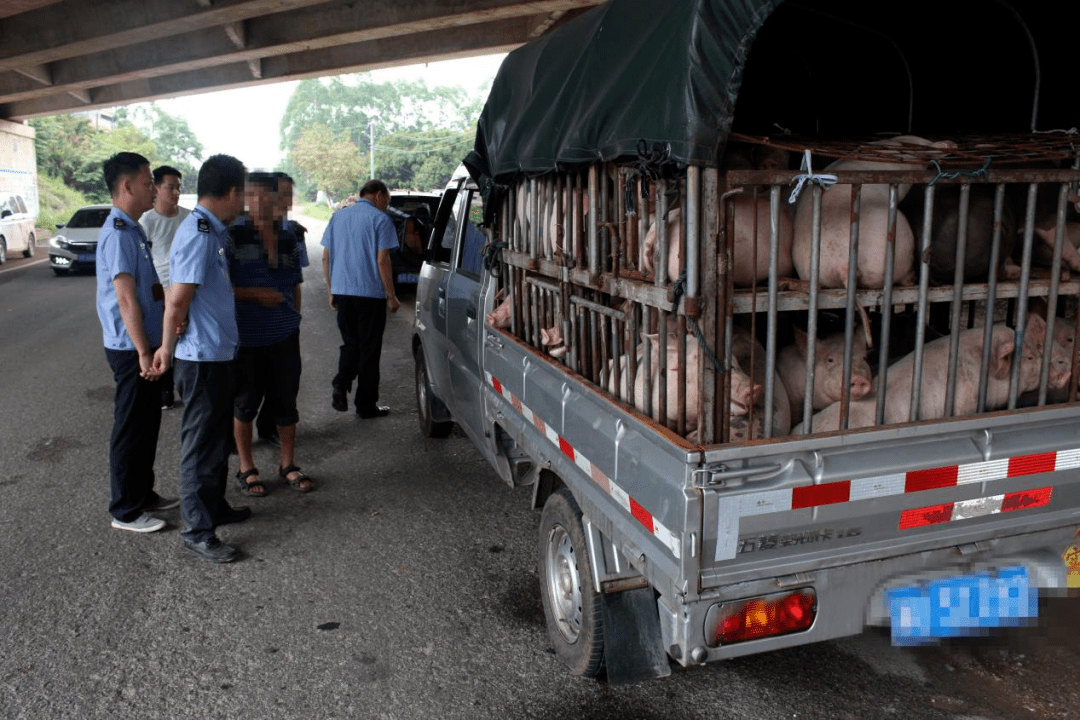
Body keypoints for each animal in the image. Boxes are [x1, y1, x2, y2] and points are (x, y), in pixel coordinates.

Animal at [794, 136, 954, 289]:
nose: (953, 143)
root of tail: (843, 266)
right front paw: (948, 146)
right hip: (900, 242)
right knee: (903, 274)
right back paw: (913, 280)